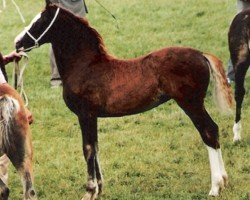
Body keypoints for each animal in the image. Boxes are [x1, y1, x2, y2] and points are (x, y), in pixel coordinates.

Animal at [15, 3, 232, 199]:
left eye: (40, 21)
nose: (18, 43)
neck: (85, 66)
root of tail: (201, 54)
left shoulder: (85, 115)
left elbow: (88, 150)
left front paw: (89, 191)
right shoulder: (93, 117)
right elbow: (95, 147)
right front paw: (99, 189)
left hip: (191, 104)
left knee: (208, 132)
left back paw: (215, 187)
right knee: (213, 131)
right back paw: (223, 181)